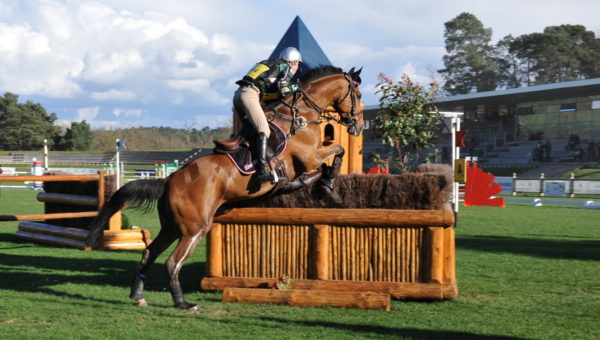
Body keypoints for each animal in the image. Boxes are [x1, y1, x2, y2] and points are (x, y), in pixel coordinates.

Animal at [85, 65, 366, 310]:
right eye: (359, 95)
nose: (359, 126)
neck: (301, 114)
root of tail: (169, 180)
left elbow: (330, 158)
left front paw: (315, 181)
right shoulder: (310, 156)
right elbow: (336, 152)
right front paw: (326, 182)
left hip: (171, 227)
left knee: (149, 253)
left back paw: (138, 295)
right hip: (195, 228)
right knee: (172, 262)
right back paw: (183, 303)